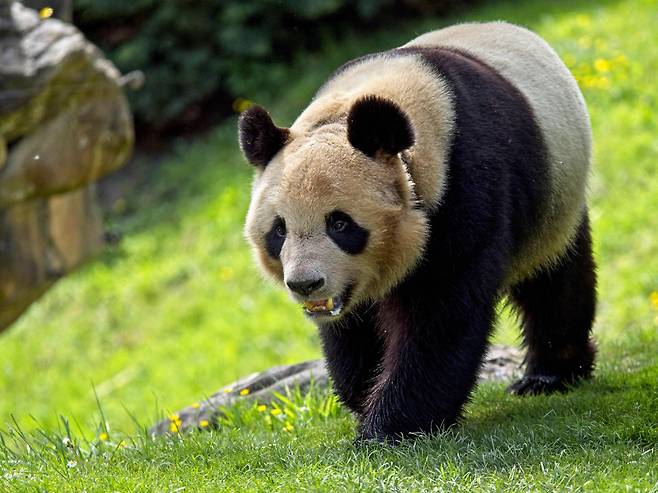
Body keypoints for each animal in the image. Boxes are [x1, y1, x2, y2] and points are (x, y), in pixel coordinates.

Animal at [237, 21, 596, 440]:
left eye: (339, 223)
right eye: (279, 231)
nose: (305, 284)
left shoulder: (462, 188)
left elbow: (441, 314)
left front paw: (391, 427)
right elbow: (353, 329)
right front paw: (364, 394)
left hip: (554, 199)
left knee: (554, 281)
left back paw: (549, 375)